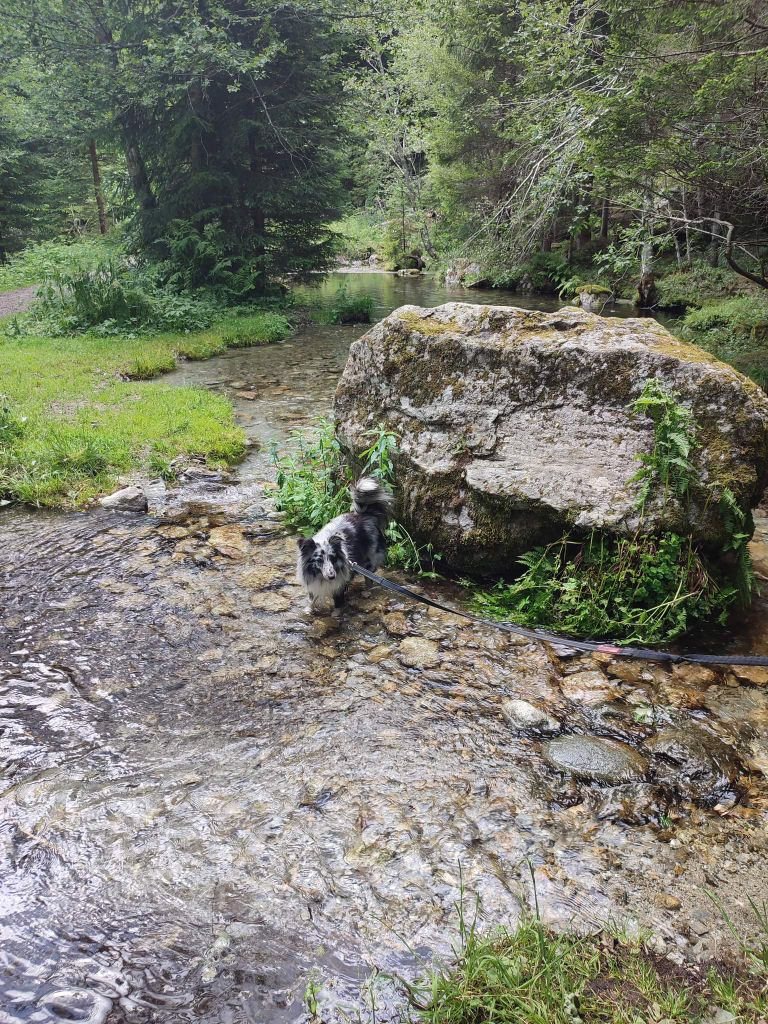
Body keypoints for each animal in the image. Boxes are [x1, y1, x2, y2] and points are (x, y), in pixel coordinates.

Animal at [294, 477, 391, 610]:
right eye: (319, 560)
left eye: (333, 558)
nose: (332, 576)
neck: (321, 578)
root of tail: (364, 515)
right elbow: (311, 601)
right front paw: (308, 610)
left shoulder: (339, 587)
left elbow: (338, 607)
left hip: (371, 558)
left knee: (369, 578)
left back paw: (366, 592)